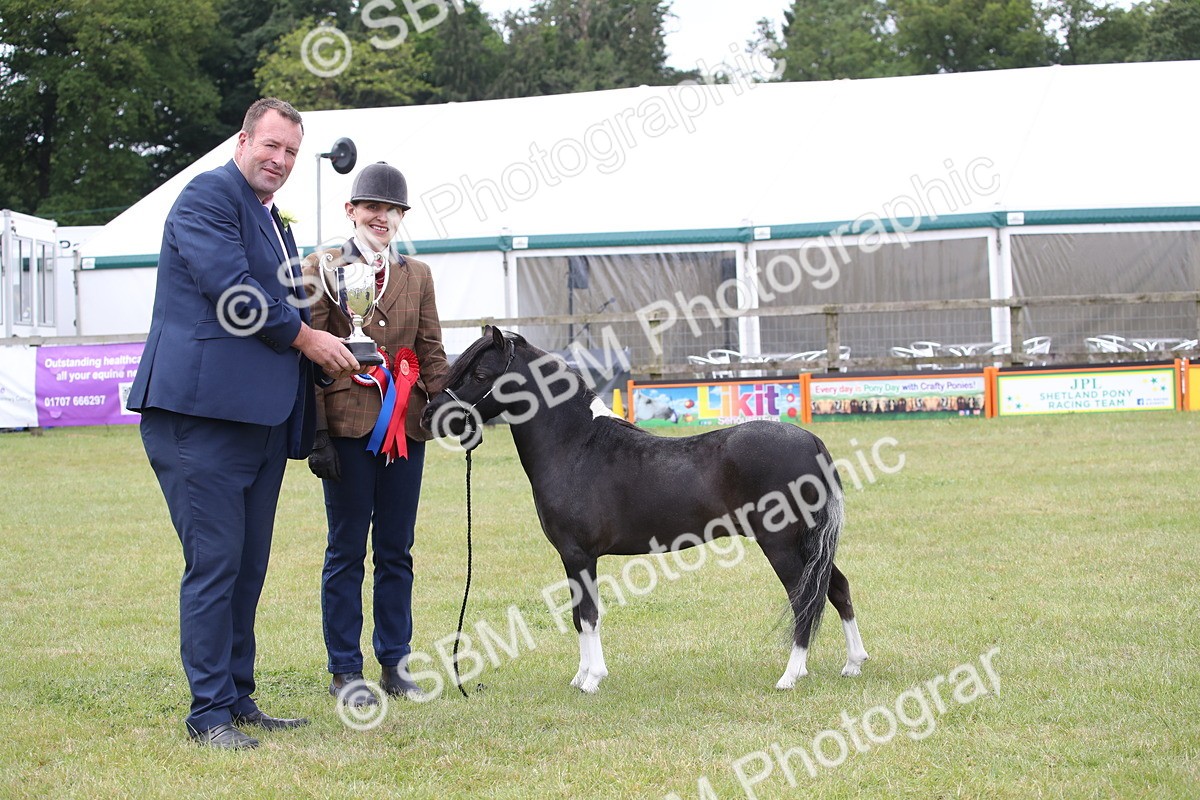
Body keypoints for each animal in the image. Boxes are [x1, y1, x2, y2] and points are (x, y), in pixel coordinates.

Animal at [421, 326, 868, 693]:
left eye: (481, 375)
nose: (428, 414)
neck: (577, 446)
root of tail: (811, 441)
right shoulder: (573, 558)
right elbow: (578, 616)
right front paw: (580, 676)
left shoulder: (578, 555)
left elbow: (588, 615)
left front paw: (591, 680)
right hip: (809, 545)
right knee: (836, 588)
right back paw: (853, 664)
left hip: (781, 545)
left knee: (803, 599)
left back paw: (790, 676)